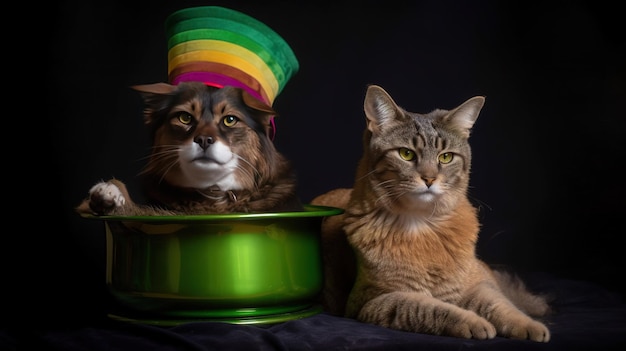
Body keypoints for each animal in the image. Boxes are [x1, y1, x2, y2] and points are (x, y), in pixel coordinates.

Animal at [310, 85, 548, 344]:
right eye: (406, 154)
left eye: (445, 157)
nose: (429, 178)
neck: (424, 225)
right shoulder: (374, 300)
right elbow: (428, 308)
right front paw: (472, 321)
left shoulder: (478, 283)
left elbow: (499, 304)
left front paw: (528, 324)